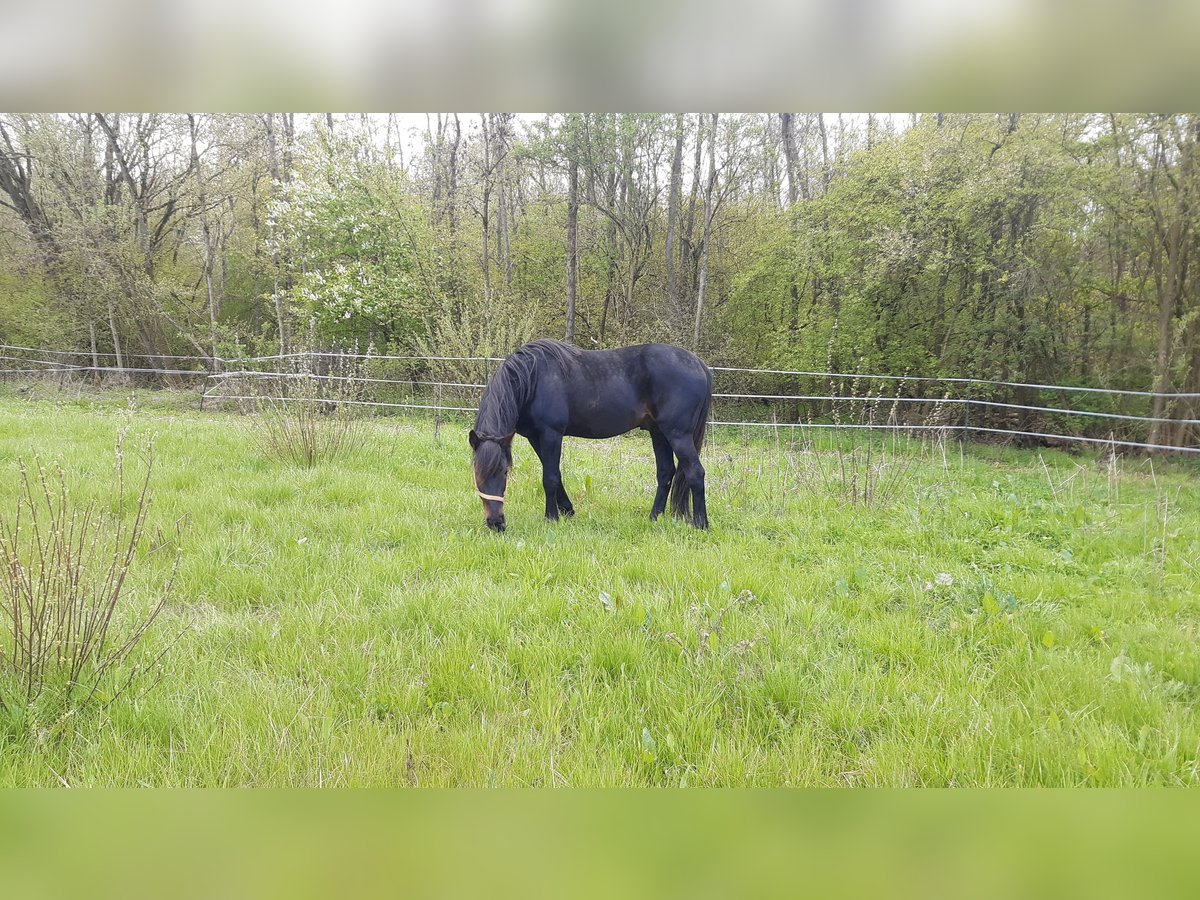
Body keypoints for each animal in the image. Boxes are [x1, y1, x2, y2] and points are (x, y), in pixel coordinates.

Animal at [468, 340, 710, 532]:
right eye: (476, 474)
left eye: (504, 472)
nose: (496, 523)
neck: (532, 379)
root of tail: (699, 364)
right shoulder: (535, 437)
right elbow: (555, 474)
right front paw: (567, 511)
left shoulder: (551, 434)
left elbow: (550, 478)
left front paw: (551, 518)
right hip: (658, 433)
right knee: (665, 473)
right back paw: (654, 518)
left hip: (678, 435)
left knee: (696, 473)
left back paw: (701, 524)